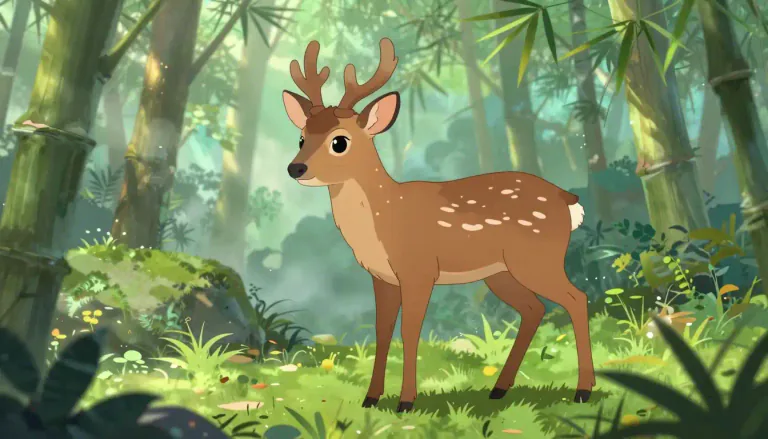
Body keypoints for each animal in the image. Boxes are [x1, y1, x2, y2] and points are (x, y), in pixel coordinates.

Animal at [281, 38, 595, 413]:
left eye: (339, 141)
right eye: (301, 137)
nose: (295, 168)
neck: (386, 219)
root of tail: (568, 200)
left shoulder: (419, 269)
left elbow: (410, 330)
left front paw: (406, 401)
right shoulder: (381, 277)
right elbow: (382, 331)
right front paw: (371, 398)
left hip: (536, 257)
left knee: (576, 298)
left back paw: (583, 391)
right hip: (500, 272)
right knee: (535, 308)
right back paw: (499, 389)